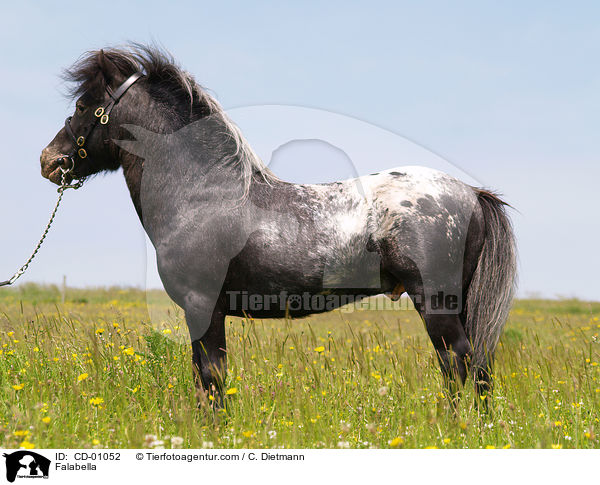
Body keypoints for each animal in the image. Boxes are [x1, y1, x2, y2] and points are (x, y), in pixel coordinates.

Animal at [38, 44, 516, 408]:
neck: (201, 195)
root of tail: (471, 193)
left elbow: (211, 378)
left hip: (436, 305)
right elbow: (205, 378)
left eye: (83, 105)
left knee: (461, 366)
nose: (48, 160)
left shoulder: (203, 307)